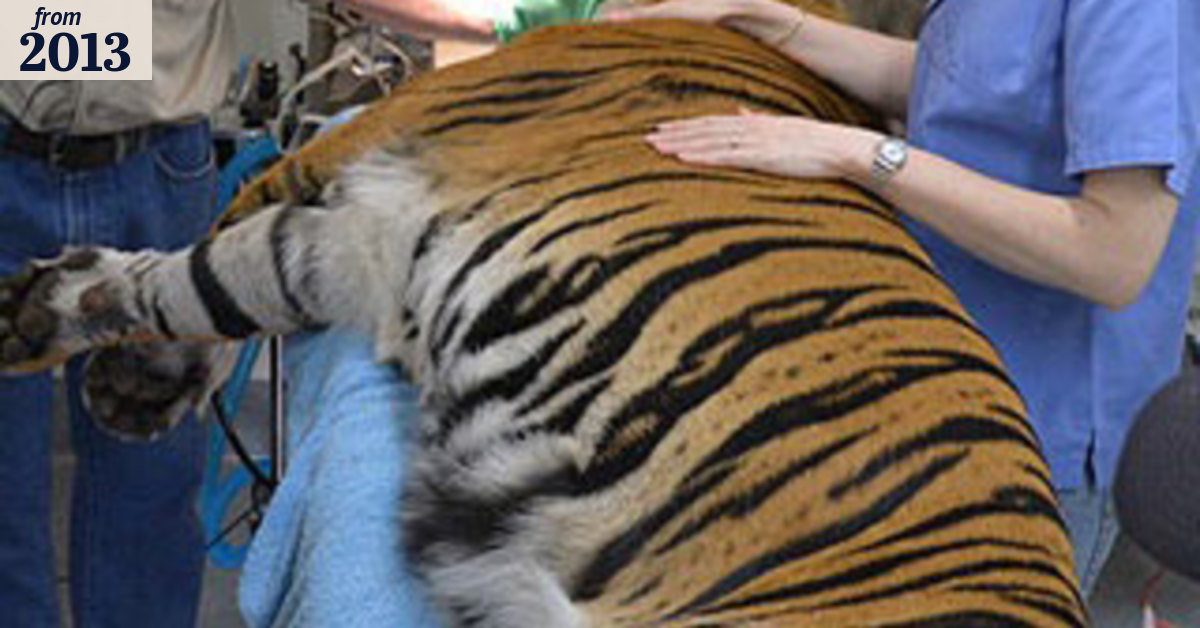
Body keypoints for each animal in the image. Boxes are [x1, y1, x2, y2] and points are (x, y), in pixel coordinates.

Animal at [0, 1, 1088, 626]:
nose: (370, 42)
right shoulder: (359, 238)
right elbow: (225, 278)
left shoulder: (359, 163)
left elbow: (205, 265)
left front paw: (64, 329)